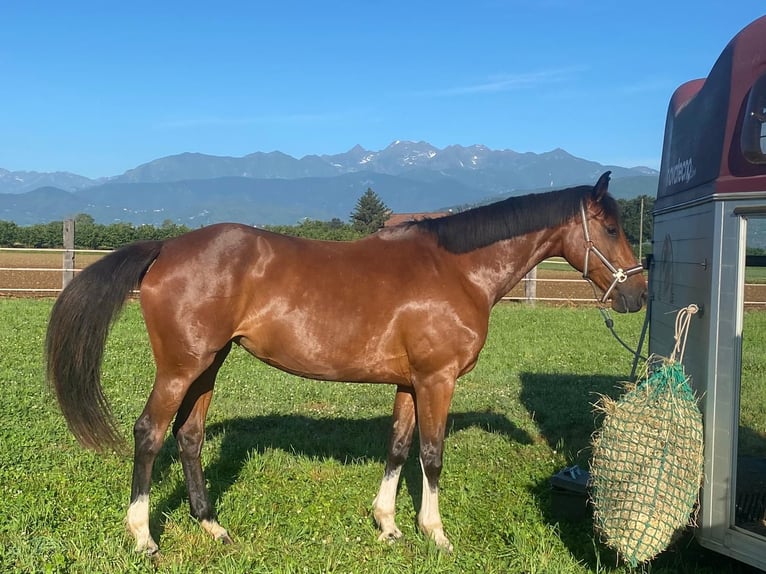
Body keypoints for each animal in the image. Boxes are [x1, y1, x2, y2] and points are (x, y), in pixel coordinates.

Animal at [46, 172, 648, 560]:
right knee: (149, 433)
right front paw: (436, 534)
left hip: (209, 365)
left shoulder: (409, 383)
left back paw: (213, 527)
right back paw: (143, 536)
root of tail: (167, 247)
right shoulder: (437, 380)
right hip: (180, 367)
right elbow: (432, 455)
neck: (456, 270)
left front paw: (388, 526)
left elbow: (399, 447)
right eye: (611, 229)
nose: (638, 294)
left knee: (189, 436)